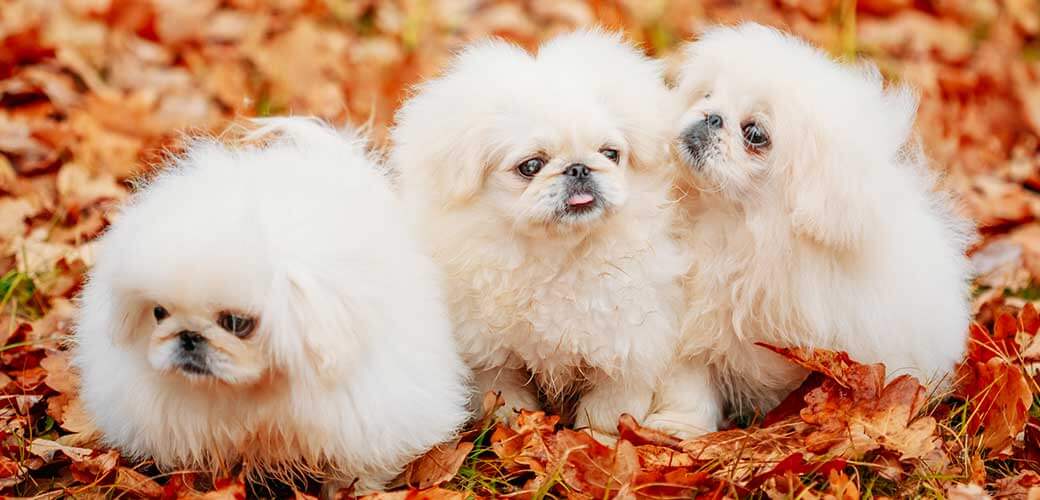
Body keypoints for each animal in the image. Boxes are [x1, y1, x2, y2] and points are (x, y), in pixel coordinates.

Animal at [644, 22, 977, 436]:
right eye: (707, 95)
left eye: (755, 134)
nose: (711, 116)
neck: (740, 231)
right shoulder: (694, 322)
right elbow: (690, 381)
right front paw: (677, 428)